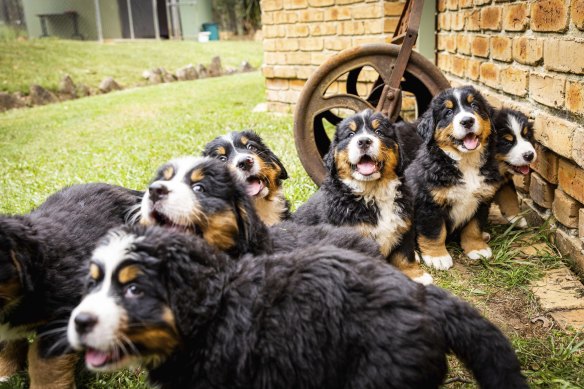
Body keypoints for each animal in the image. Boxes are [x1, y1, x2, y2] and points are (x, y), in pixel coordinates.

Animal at [292, 110, 434, 284]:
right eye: (350, 134)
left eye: (379, 132)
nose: (364, 141)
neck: (373, 192)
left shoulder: (404, 223)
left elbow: (404, 255)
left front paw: (416, 275)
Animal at [406, 85, 502, 270]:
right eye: (448, 112)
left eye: (475, 106)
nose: (467, 121)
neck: (466, 162)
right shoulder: (429, 203)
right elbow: (434, 232)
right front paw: (438, 257)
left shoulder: (483, 199)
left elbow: (474, 227)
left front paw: (477, 248)